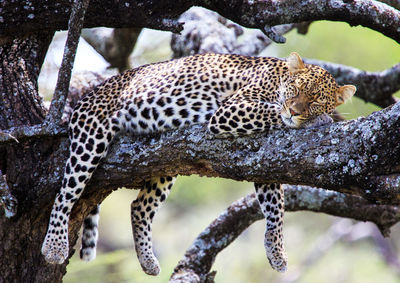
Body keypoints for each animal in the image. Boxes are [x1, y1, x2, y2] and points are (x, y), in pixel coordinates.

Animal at [40, 52, 354, 276]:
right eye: (297, 89)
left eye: (316, 99)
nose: (296, 111)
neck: (278, 78)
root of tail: (89, 93)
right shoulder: (230, 111)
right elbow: (272, 112)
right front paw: (320, 120)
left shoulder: (263, 159)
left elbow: (275, 206)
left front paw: (276, 252)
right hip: (91, 136)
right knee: (65, 193)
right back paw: (54, 247)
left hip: (162, 166)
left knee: (139, 206)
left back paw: (148, 261)